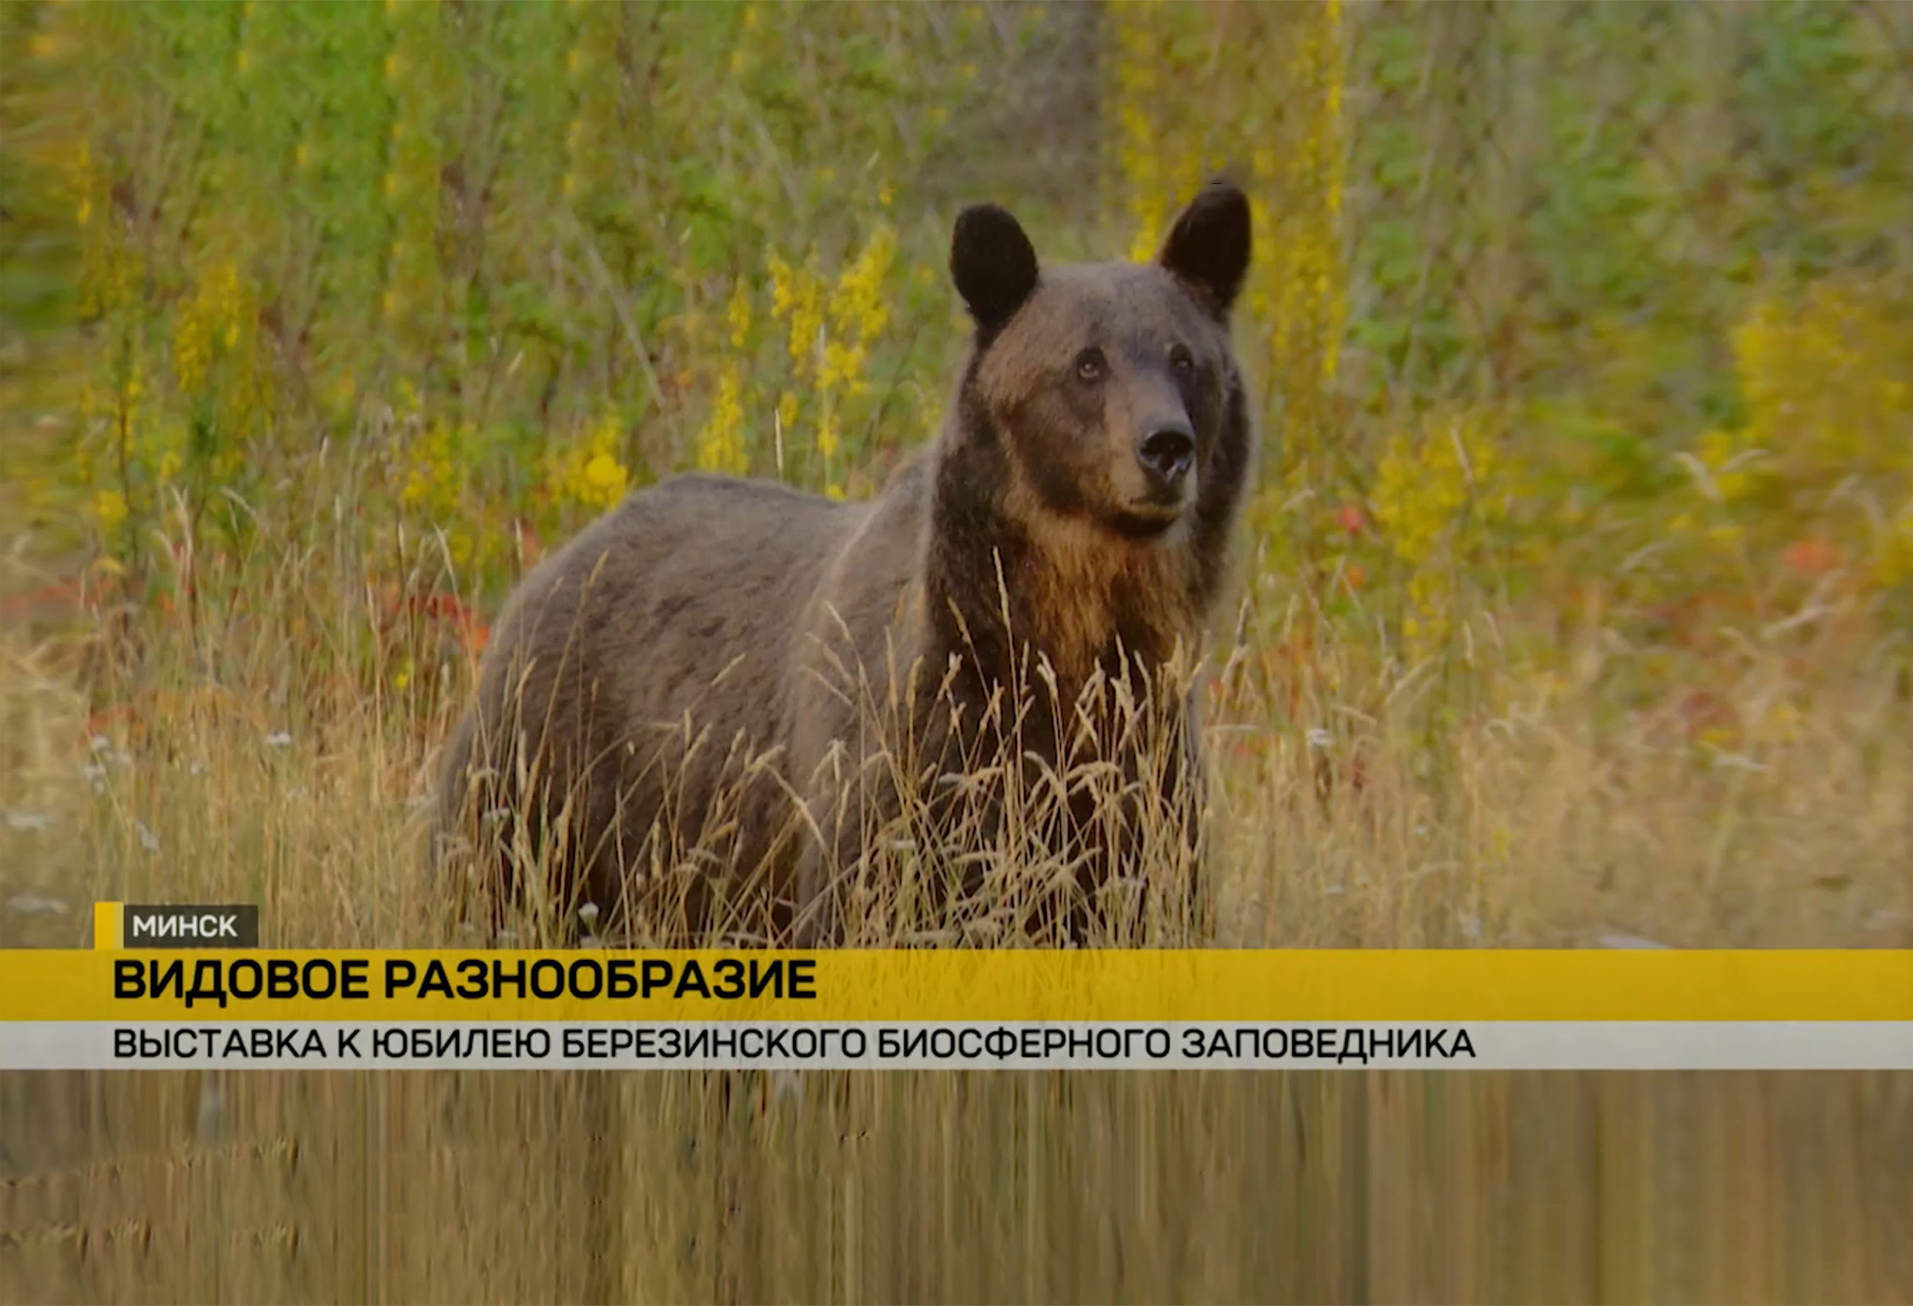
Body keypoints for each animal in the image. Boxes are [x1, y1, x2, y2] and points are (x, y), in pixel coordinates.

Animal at [430, 178, 1254, 944]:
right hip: (550, 778)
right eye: (1085, 364)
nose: (1165, 446)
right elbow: (872, 898)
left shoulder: (1142, 779)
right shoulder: (915, 755)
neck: (1067, 625)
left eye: (1186, 360)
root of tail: (558, 559)